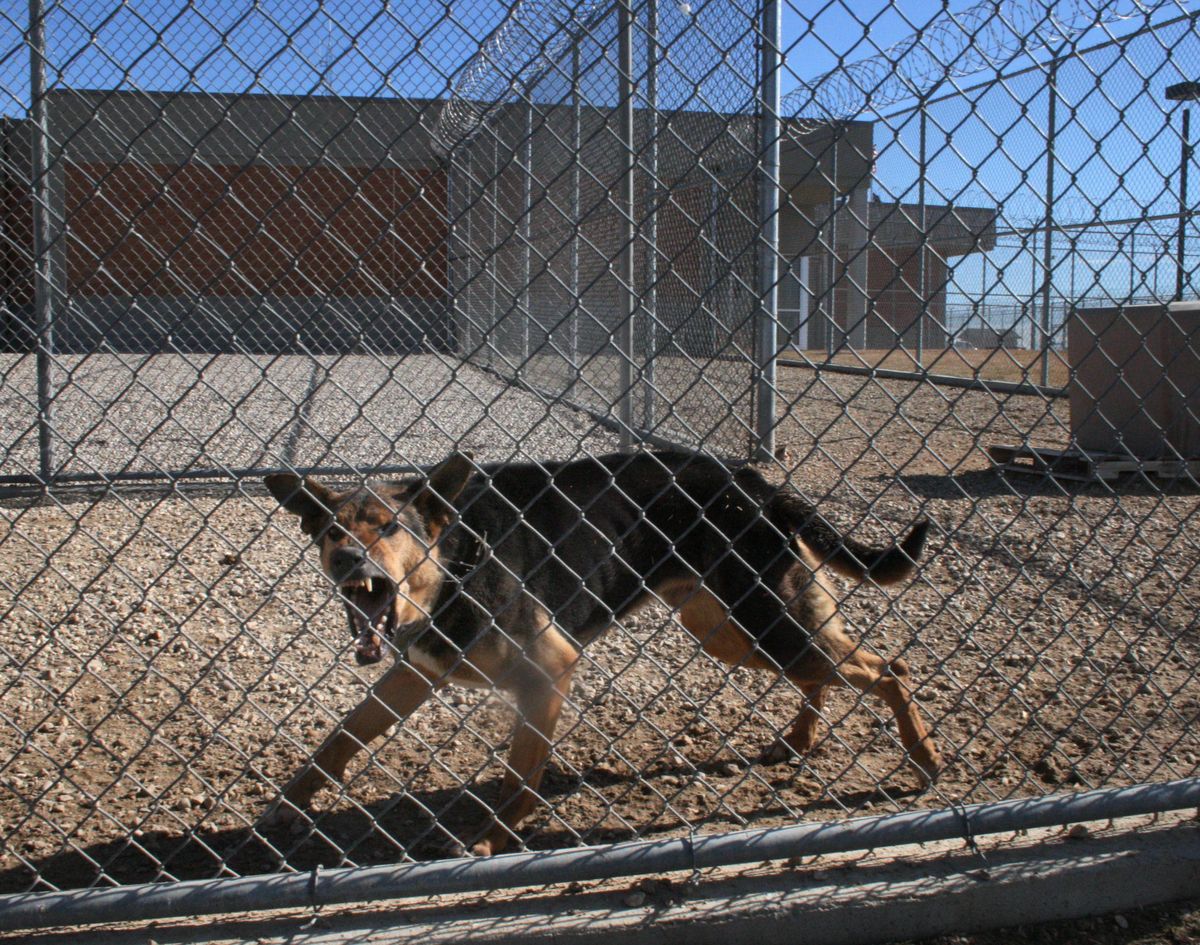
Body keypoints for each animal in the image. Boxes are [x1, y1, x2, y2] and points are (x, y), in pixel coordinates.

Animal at [260, 450, 936, 858]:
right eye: (331, 531)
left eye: (388, 527)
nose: (347, 559)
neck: (456, 561)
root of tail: (759, 485)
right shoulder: (415, 673)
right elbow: (341, 737)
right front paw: (290, 803)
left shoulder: (548, 672)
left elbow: (519, 777)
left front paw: (490, 840)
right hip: (730, 632)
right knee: (831, 671)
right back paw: (799, 739)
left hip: (767, 622)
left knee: (891, 668)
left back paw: (925, 759)